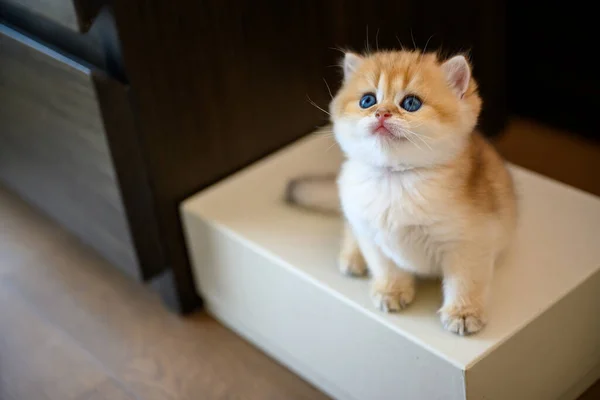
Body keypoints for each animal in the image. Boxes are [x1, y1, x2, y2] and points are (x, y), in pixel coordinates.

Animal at [286, 50, 516, 338]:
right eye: (367, 100)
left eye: (411, 103)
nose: (381, 113)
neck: (395, 179)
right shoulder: (371, 234)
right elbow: (386, 266)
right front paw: (391, 290)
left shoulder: (470, 242)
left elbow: (465, 281)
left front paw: (463, 313)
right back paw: (352, 255)